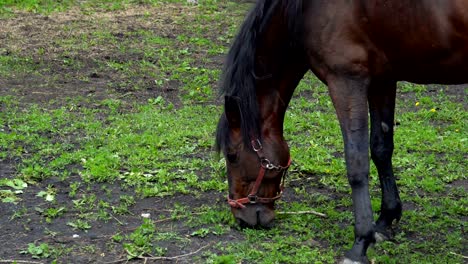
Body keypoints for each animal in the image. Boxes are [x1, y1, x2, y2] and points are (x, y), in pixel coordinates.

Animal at [215, 1, 468, 262]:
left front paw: (360, 244)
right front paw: (385, 221)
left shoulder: (346, 81)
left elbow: (356, 163)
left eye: (232, 156)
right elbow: (381, 149)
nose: (242, 217)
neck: (304, 11)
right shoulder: (383, 79)